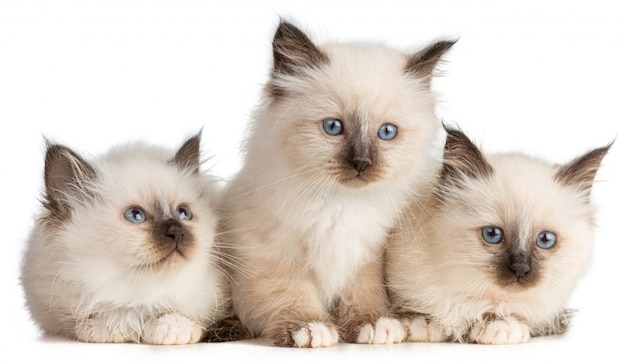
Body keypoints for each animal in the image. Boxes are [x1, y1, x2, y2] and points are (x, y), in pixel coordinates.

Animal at [22, 134, 233, 344]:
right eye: (135, 215)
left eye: (183, 213)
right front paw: (105, 328)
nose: (176, 232)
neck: (141, 297)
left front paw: (171, 328)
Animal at [219, 20, 454, 346]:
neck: (340, 204)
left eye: (387, 132)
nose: (361, 163)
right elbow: (289, 293)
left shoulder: (365, 253)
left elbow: (363, 293)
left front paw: (374, 324)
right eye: (333, 127)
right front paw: (309, 328)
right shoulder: (273, 251)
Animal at [386, 125, 608, 344]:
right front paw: (423, 323)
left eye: (545, 240)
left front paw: (500, 326)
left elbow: (510, 312)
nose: (520, 269)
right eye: (492, 234)